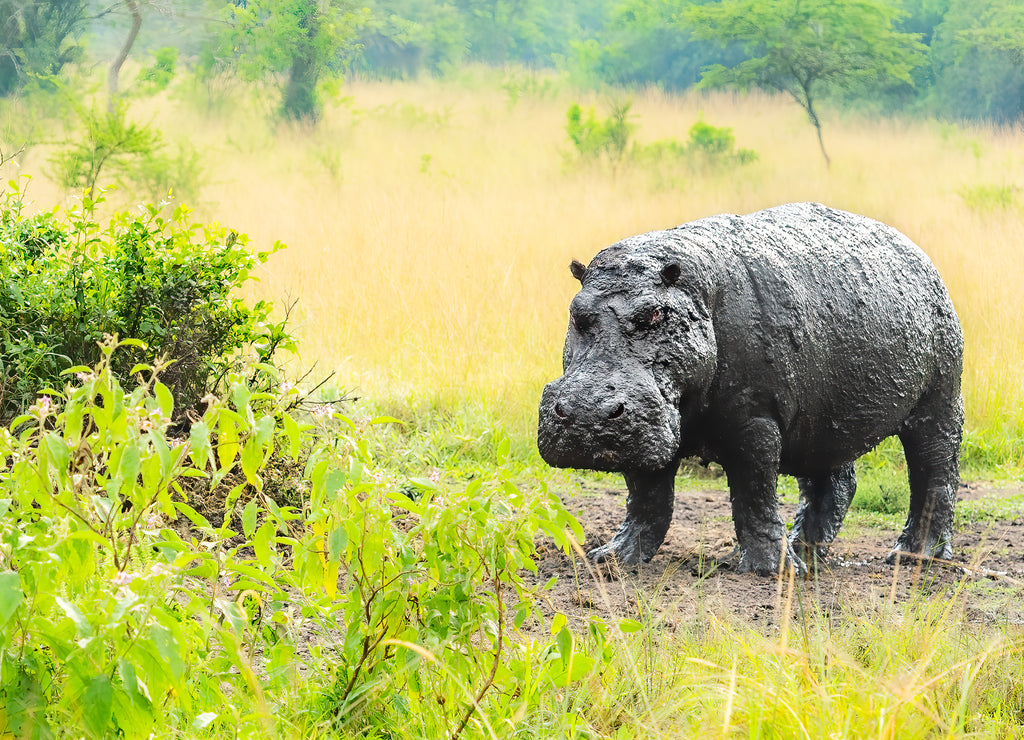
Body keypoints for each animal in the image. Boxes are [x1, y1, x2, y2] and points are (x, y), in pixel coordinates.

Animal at [538, 203, 963, 575]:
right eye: (577, 314)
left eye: (656, 313)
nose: (587, 412)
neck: (695, 290)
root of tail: (922, 258)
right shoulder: (646, 427)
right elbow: (647, 498)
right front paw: (610, 559)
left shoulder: (755, 420)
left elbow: (753, 491)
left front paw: (768, 571)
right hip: (825, 421)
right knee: (835, 483)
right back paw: (806, 555)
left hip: (940, 400)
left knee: (935, 471)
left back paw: (913, 558)